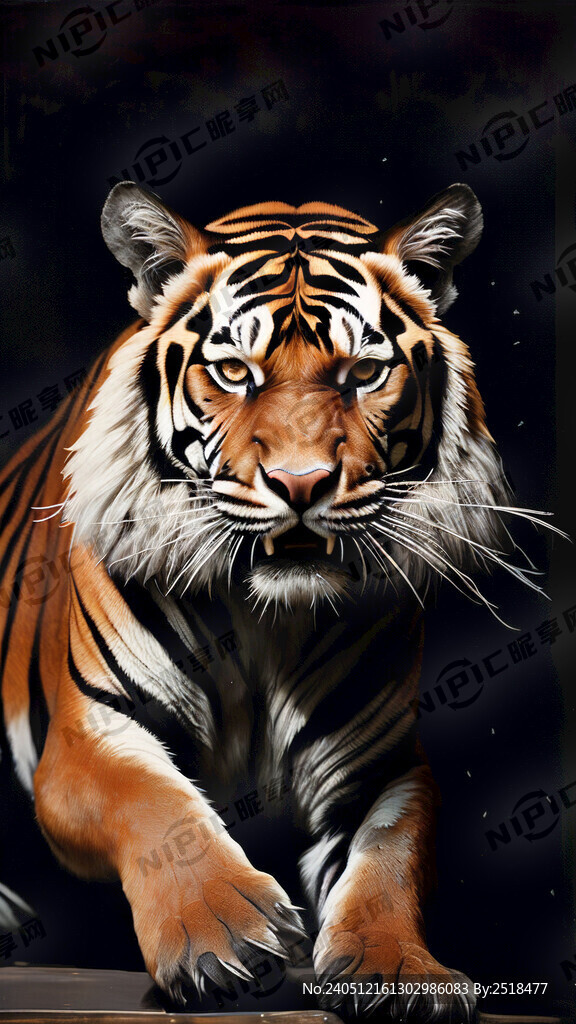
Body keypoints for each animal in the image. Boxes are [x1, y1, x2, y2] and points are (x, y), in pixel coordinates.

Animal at [0, 181, 555, 1021]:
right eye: (234, 371)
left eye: (363, 372)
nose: (301, 484)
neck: (266, 621)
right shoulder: (88, 733)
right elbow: (155, 801)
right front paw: (222, 934)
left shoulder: (379, 765)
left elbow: (388, 860)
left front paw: (401, 971)